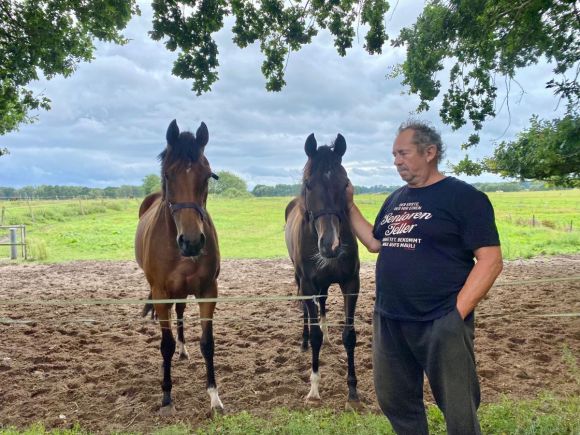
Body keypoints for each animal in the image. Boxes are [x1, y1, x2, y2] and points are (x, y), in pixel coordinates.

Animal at [136, 118, 224, 416]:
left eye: (206, 176)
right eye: (168, 175)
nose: (192, 242)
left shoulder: (208, 291)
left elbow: (207, 343)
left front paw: (214, 396)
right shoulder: (161, 293)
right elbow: (165, 344)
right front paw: (166, 397)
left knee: (181, 314)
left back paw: (184, 351)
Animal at [284, 133, 360, 408]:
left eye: (345, 183)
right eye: (308, 184)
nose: (331, 245)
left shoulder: (351, 283)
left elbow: (349, 335)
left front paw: (352, 390)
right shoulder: (307, 284)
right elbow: (314, 329)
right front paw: (314, 387)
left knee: (324, 302)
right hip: (300, 280)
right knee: (308, 315)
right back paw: (305, 341)